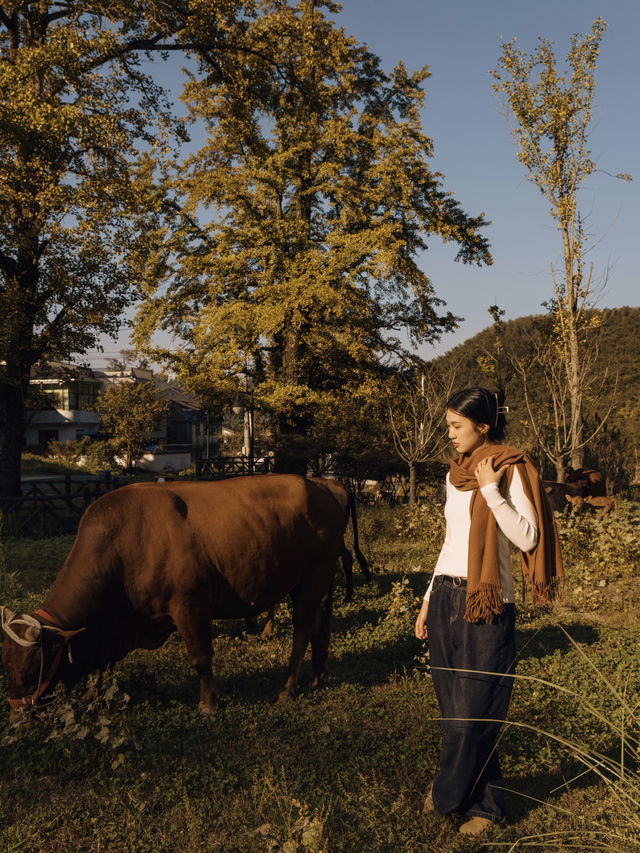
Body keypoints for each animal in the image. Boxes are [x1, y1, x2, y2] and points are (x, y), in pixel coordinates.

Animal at [0, 472, 368, 712]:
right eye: (6, 665)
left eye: (31, 671)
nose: (18, 715)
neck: (123, 543)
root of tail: (324, 486)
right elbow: (105, 665)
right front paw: (94, 696)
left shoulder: (189, 606)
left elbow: (201, 658)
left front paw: (208, 704)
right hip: (315, 581)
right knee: (322, 624)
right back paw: (317, 676)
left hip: (314, 575)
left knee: (303, 629)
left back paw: (286, 689)